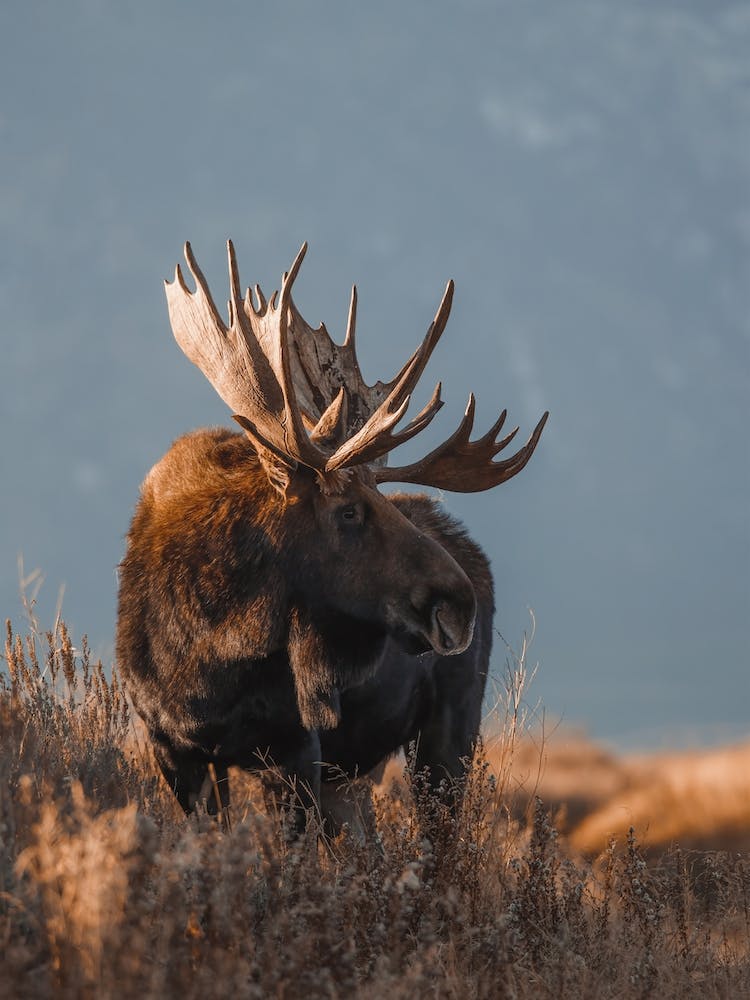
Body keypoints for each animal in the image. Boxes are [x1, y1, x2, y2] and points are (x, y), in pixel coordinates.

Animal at [116, 241, 547, 835]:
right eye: (348, 511)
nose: (458, 607)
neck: (213, 651)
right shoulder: (175, 752)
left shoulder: (295, 749)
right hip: (352, 777)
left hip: (448, 734)